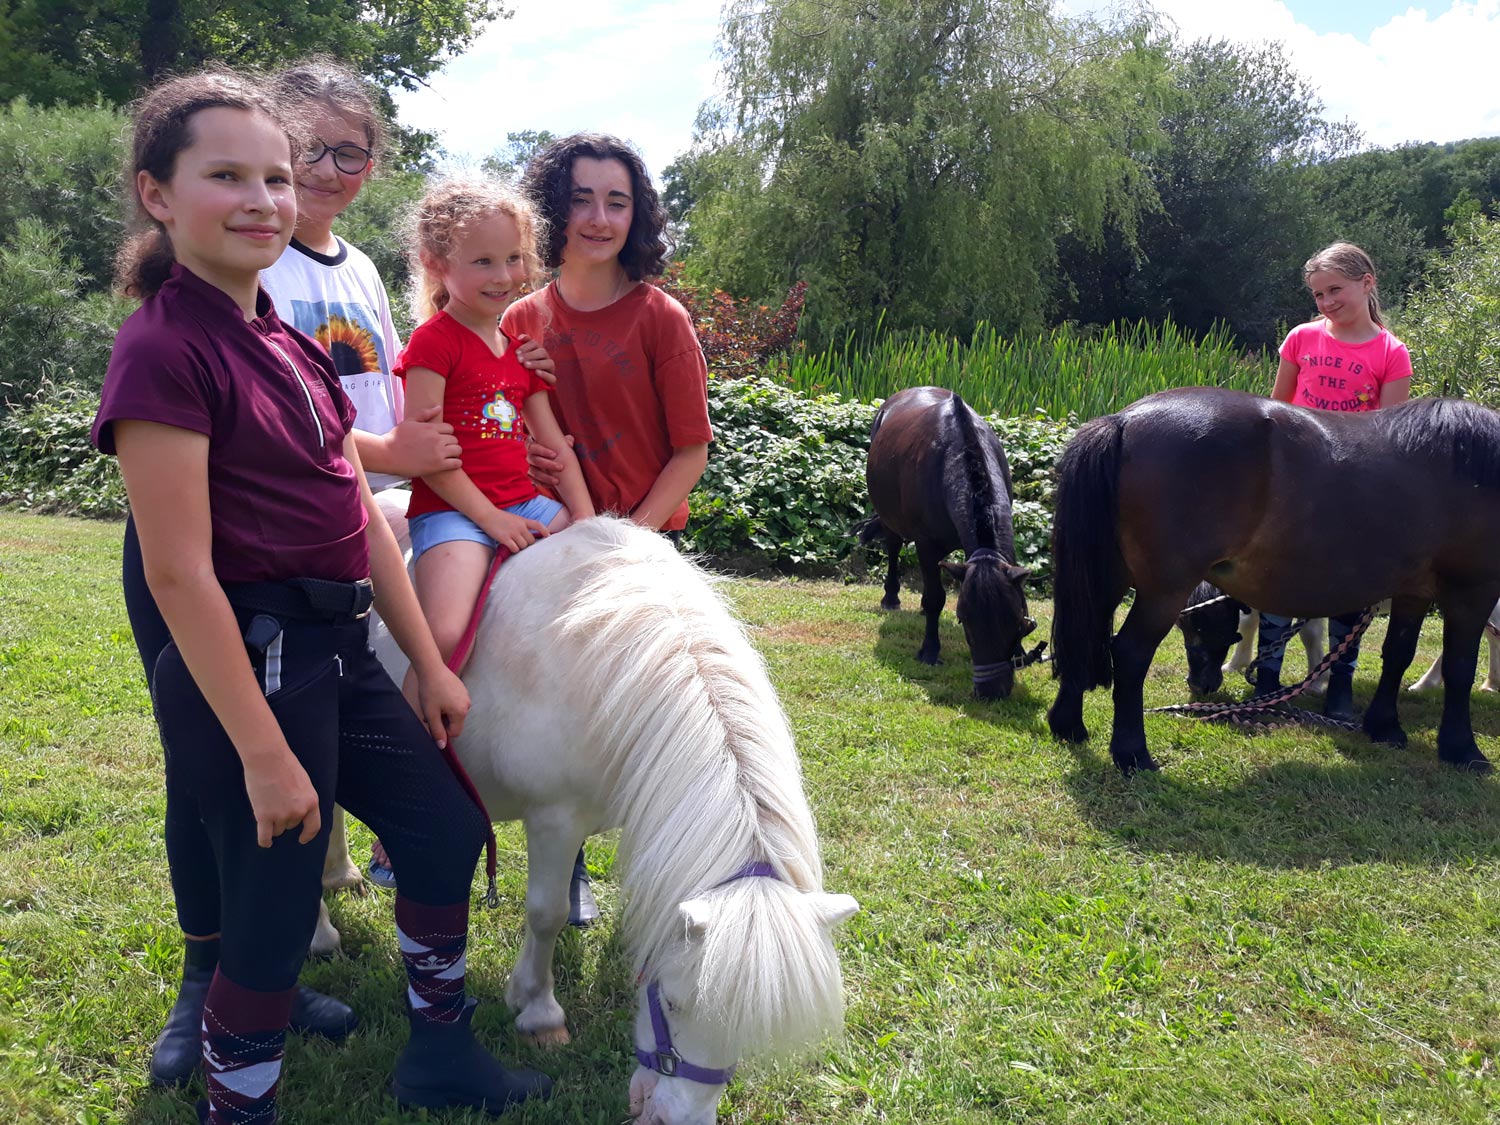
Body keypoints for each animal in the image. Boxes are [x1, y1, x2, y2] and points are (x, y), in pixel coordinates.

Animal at [319, 519, 858, 1125]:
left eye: (747, 1032)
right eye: (672, 1002)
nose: (675, 1119)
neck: (608, 661)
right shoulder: (554, 819)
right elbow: (546, 914)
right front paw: (538, 1012)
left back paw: (341, 875)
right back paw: (321, 933)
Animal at [852, 393, 1038, 702]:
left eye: (1015, 622)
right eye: (965, 621)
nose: (991, 692)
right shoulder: (927, 546)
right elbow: (935, 598)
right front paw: (929, 651)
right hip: (891, 520)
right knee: (893, 548)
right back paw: (891, 597)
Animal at [1050, 387, 1500, 774]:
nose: (1203, 685)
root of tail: (1126, 419)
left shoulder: (1414, 591)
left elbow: (1399, 654)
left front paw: (1385, 726)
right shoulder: (1472, 590)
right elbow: (1460, 666)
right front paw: (1463, 749)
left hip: (1109, 577)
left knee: (1084, 635)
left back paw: (1068, 725)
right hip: (1164, 590)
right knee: (1129, 653)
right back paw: (1133, 754)